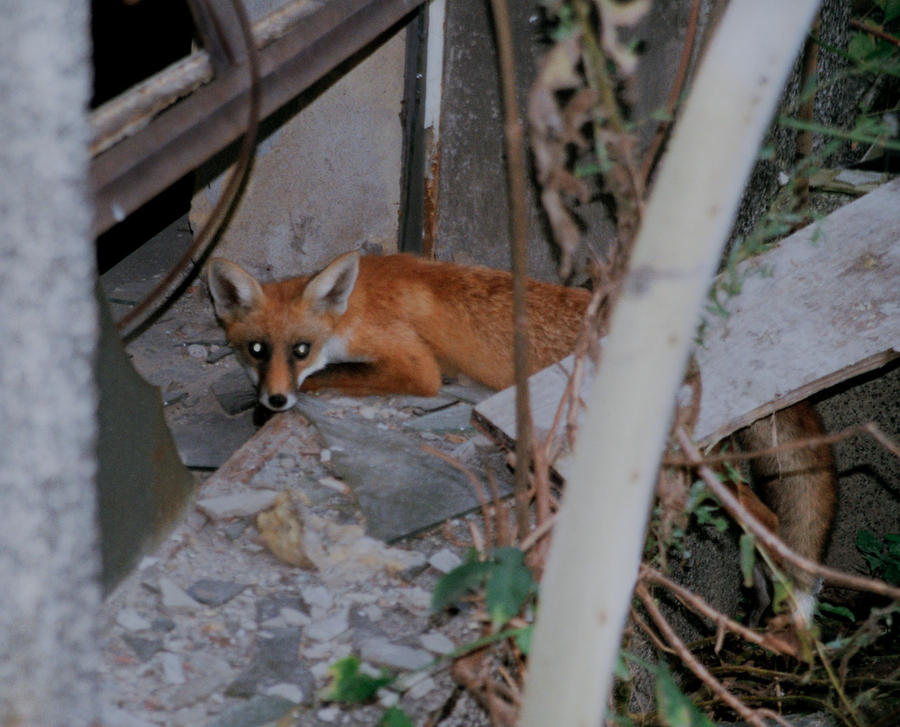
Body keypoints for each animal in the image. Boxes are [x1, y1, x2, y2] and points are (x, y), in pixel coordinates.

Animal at [207, 249, 835, 625]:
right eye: (257, 349)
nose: (276, 401)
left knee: (770, 520)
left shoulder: (416, 368)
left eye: (300, 349)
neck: (356, 304)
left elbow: (330, 381)